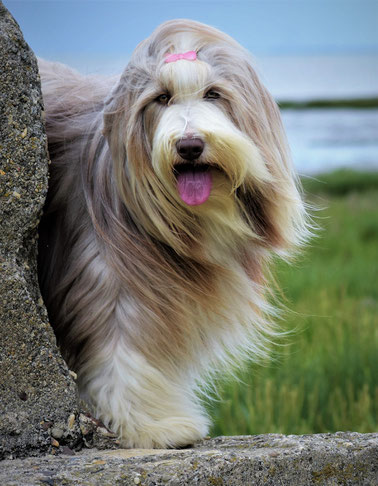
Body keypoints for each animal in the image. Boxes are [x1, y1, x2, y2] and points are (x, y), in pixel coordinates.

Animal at [37, 19, 308, 448]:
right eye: (161, 98)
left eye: (214, 93)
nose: (190, 146)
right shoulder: (106, 272)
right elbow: (120, 346)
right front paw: (152, 426)